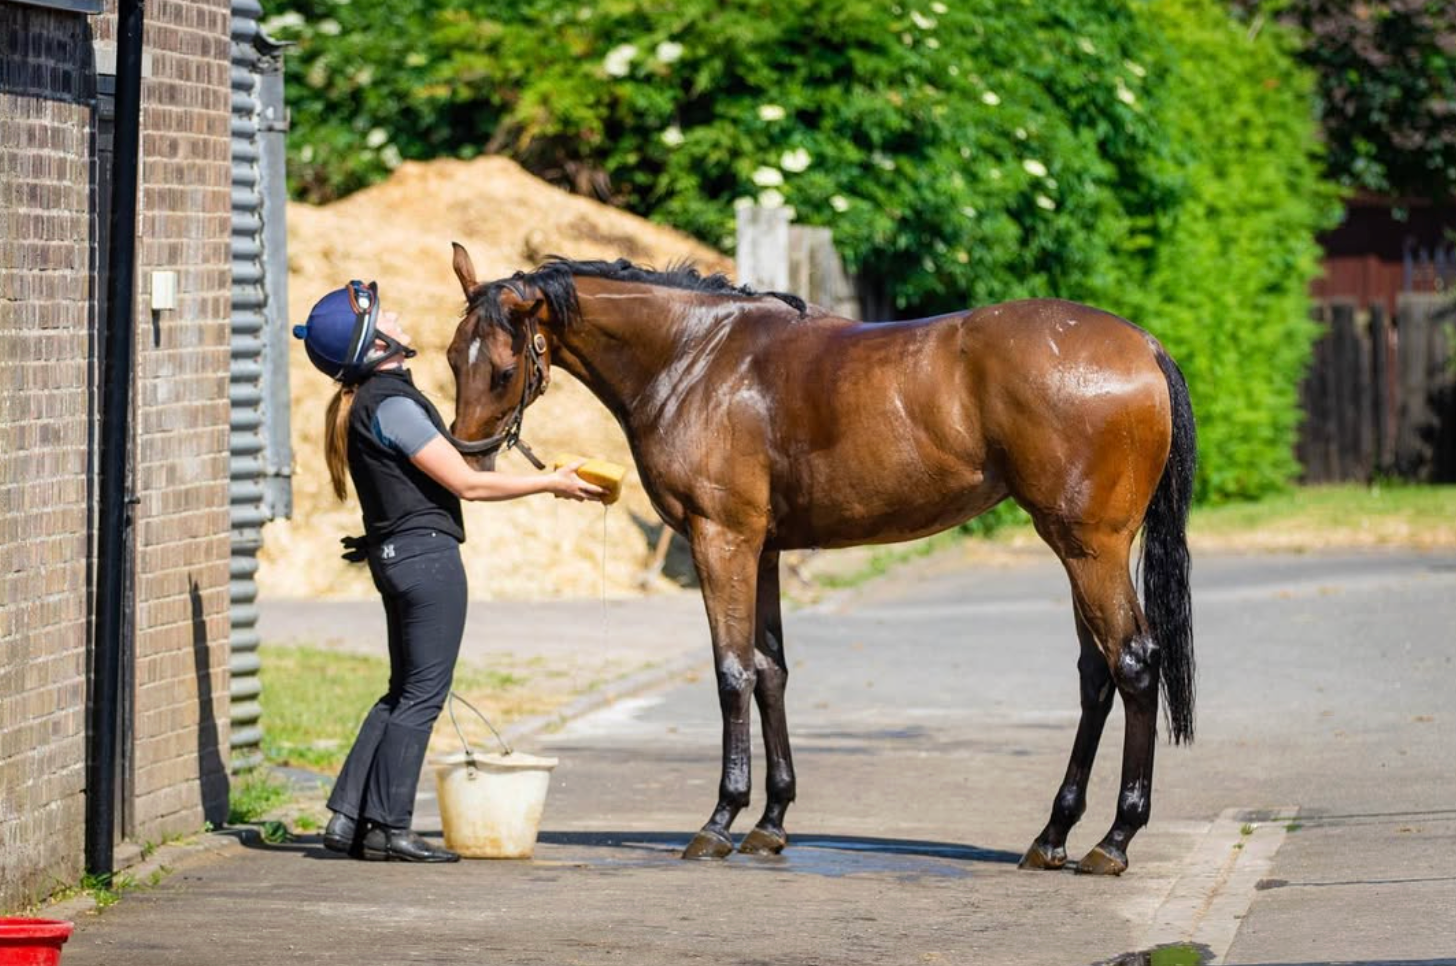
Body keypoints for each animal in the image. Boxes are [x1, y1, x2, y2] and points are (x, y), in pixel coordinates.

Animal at [444, 243, 1196, 876]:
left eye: (504, 369)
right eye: (453, 357)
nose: (468, 459)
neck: (696, 358)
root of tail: (1146, 346)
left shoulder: (722, 540)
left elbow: (732, 673)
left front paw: (719, 821)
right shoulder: (765, 550)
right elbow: (771, 671)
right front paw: (770, 821)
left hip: (1089, 548)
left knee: (1134, 663)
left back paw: (1113, 840)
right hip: (1077, 548)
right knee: (1097, 676)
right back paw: (1053, 836)